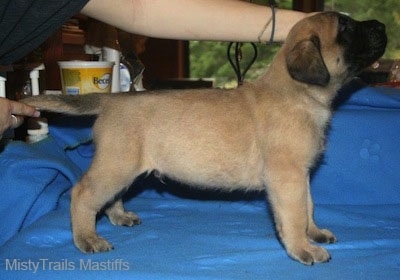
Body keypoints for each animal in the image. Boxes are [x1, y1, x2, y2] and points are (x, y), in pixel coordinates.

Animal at [23, 11, 386, 264]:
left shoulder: (301, 175)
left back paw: (119, 216)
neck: (298, 92)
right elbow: (294, 214)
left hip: (123, 166)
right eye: (346, 28)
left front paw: (315, 233)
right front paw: (302, 248)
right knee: (83, 193)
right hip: (117, 164)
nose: (383, 26)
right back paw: (87, 238)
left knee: (109, 196)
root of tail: (112, 100)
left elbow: (308, 206)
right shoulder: (287, 177)